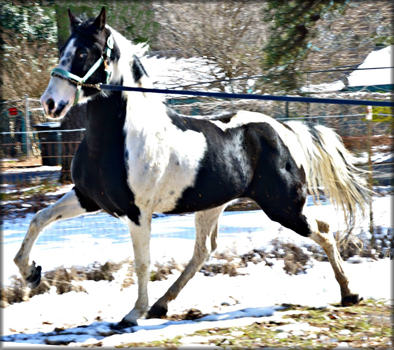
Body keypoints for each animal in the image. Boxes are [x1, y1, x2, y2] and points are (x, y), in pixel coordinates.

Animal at [13, 8, 370, 328]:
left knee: (323, 230)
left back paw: (350, 293)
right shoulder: (87, 198)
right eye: (62, 50)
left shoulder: (137, 213)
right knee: (203, 250)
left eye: (85, 52)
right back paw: (161, 305)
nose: (50, 104)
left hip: (282, 206)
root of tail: (283, 129)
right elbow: (39, 219)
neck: (119, 139)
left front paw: (132, 314)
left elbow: (142, 262)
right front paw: (30, 273)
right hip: (213, 205)